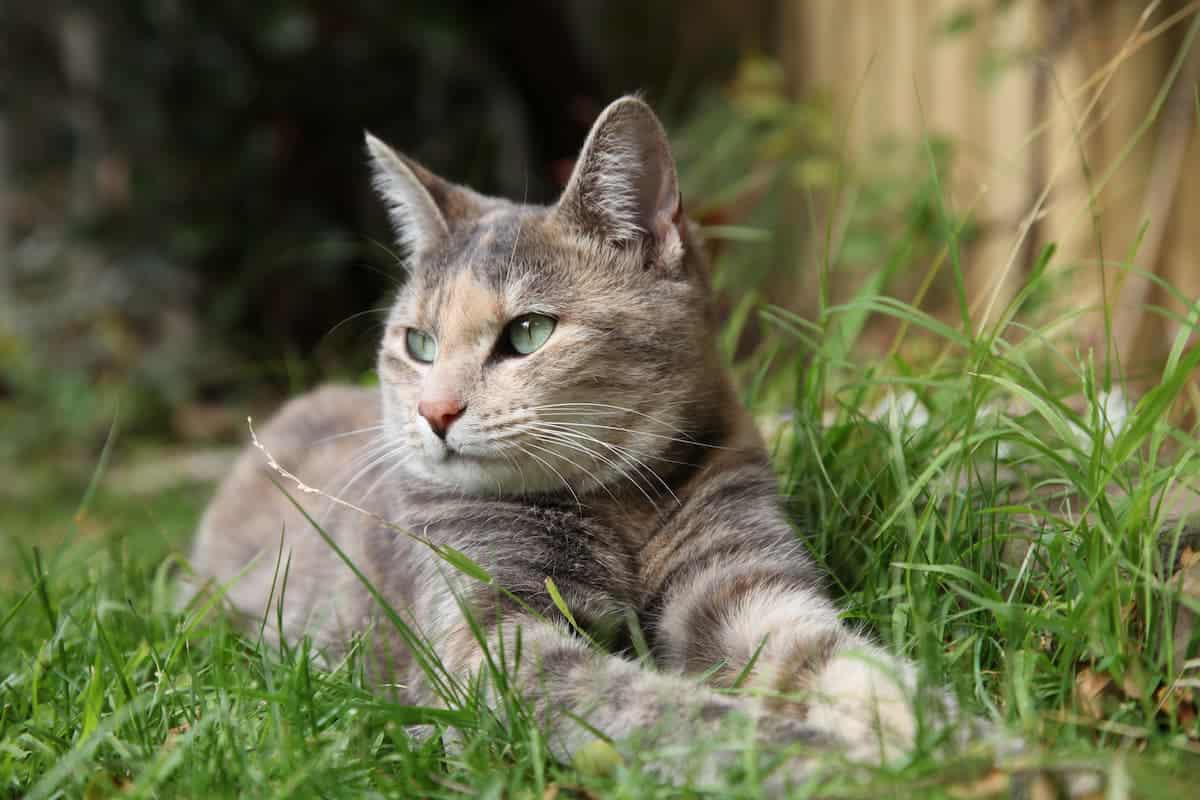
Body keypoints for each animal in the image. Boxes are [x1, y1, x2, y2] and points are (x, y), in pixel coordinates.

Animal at [189, 95, 974, 786]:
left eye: (528, 332)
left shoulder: (744, 582)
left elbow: (842, 664)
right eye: (418, 343)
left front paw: (951, 739)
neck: (619, 505)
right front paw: (831, 760)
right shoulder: (494, 645)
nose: (435, 412)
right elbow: (660, 710)